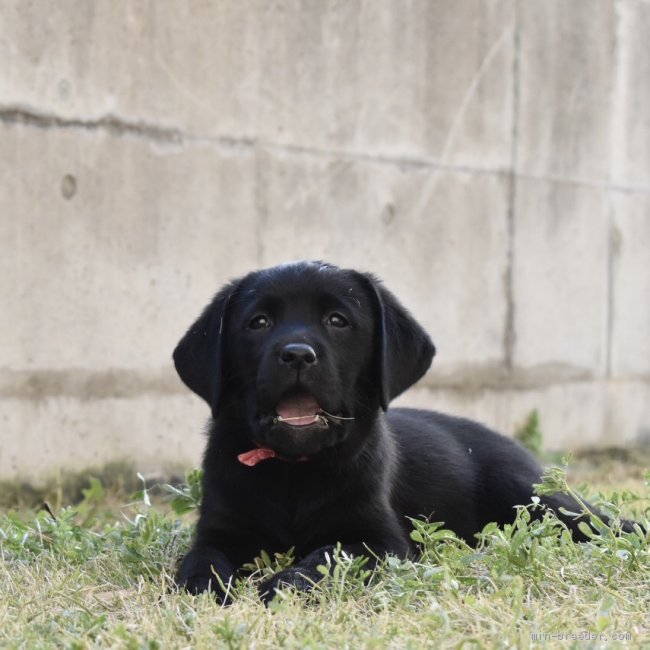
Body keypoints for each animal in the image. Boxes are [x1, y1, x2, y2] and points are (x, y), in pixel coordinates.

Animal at [173, 260, 628, 604]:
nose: (297, 354)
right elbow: (200, 559)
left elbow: (328, 556)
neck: (293, 470)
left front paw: (284, 585)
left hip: (529, 497)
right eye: (259, 322)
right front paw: (205, 586)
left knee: (595, 520)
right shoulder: (219, 528)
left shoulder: (382, 541)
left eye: (337, 321)